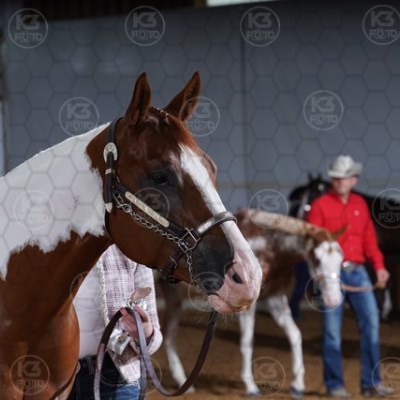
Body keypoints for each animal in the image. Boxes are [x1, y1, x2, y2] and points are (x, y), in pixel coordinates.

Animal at [156, 208, 344, 398]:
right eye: (317, 259)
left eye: (341, 260)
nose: (333, 300)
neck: (269, 247)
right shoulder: (248, 304)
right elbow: (247, 341)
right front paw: (251, 386)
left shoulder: (276, 299)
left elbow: (295, 335)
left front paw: (297, 385)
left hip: (174, 299)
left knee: (169, 336)